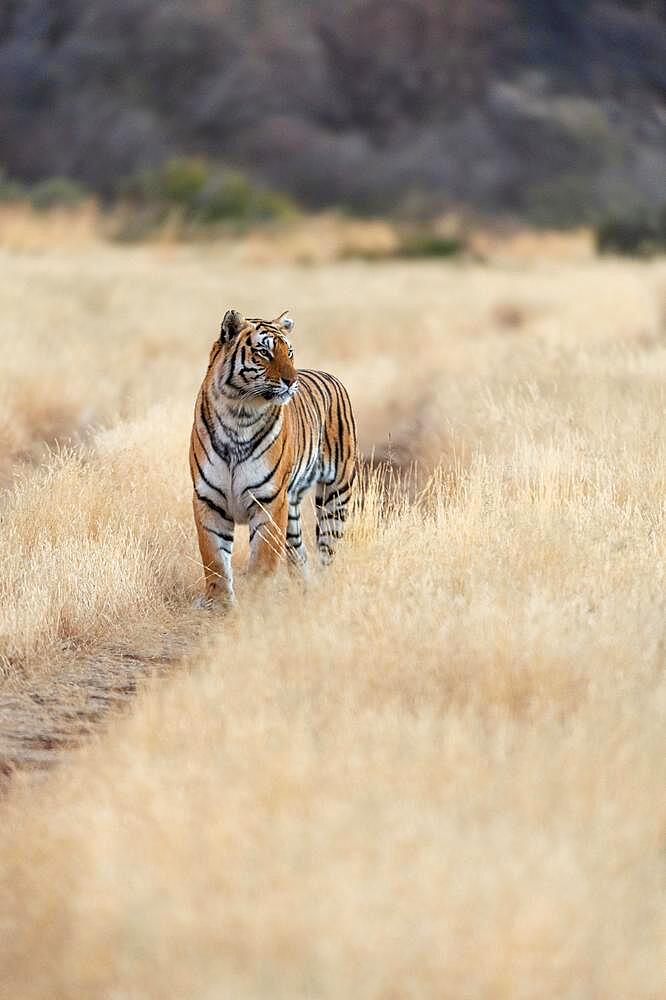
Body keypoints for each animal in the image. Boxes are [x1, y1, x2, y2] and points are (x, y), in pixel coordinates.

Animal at [189, 308, 358, 604]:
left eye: (289, 352)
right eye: (264, 352)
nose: (292, 382)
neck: (238, 414)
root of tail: (331, 376)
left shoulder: (268, 501)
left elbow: (262, 560)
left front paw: (258, 600)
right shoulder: (208, 499)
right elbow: (215, 560)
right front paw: (220, 604)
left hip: (336, 493)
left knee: (327, 550)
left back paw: (322, 590)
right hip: (292, 510)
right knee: (299, 553)